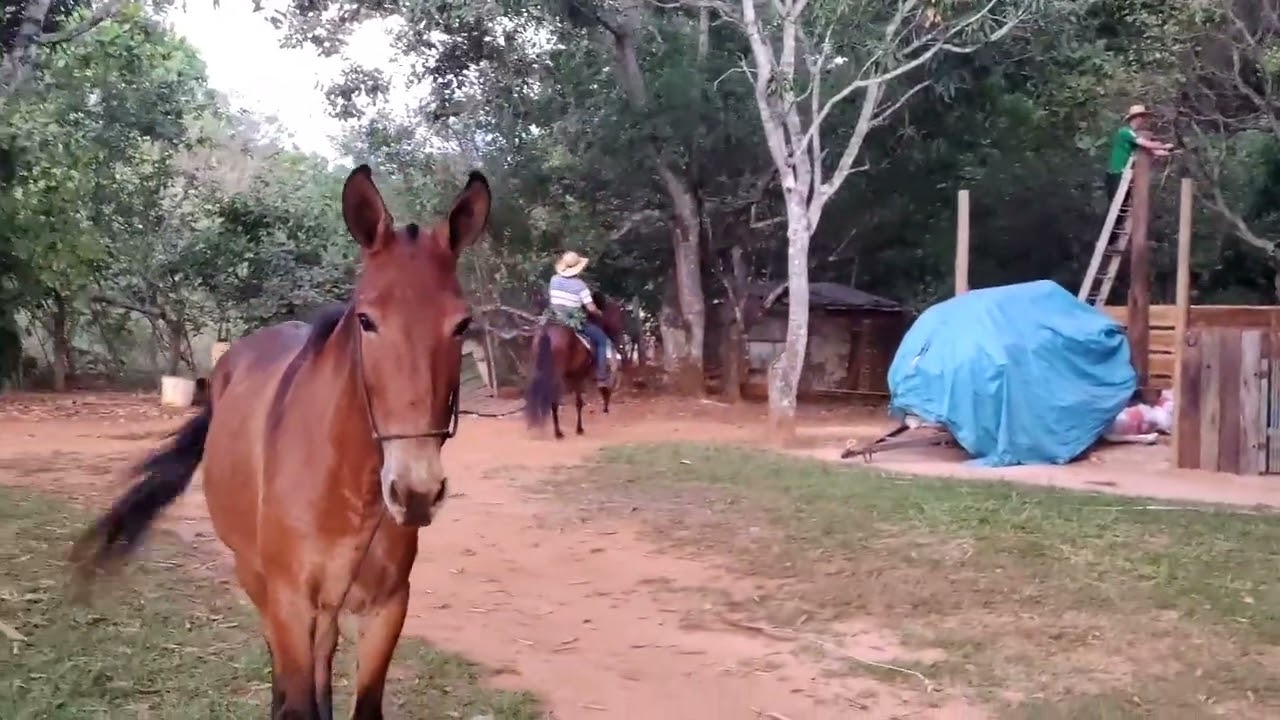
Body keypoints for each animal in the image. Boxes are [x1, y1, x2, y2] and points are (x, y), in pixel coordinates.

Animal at [70, 165, 491, 720]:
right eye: (366, 320)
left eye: (461, 324)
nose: (416, 491)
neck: (347, 486)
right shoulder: (290, 601)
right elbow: (296, 696)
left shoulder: (388, 606)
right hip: (255, 576)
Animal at [524, 292, 625, 439]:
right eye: (618, 317)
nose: (621, 341)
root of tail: (547, 332)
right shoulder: (579, 375)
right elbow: (579, 402)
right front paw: (579, 429)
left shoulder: (572, 376)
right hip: (556, 375)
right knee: (553, 400)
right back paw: (558, 432)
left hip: (538, 370)